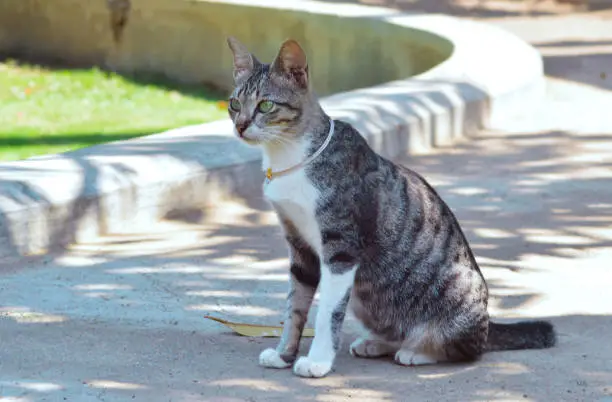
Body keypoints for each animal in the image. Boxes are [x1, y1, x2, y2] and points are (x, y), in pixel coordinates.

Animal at [224, 36, 556, 378]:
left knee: (466, 350)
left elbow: (328, 312)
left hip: (455, 292)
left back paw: (418, 352)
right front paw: (283, 355)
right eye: (234, 103)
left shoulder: (341, 250)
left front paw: (317, 361)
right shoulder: (300, 246)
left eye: (265, 105)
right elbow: (295, 308)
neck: (291, 158)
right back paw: (376, 343)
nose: (241, 125)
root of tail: (489, 323)